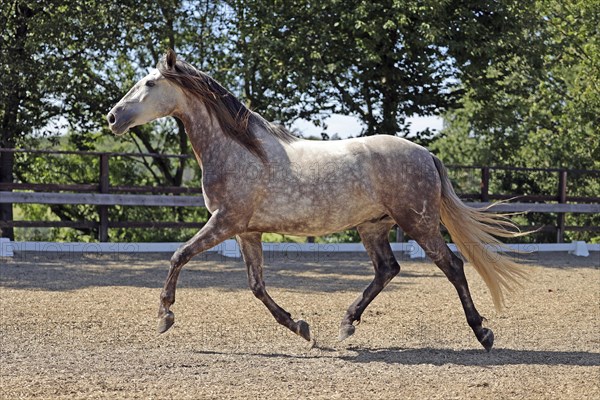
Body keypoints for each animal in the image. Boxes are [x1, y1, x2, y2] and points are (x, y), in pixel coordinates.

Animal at [108, 49, 524, 350]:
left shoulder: (224, 222)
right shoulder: (246, 231)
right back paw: (346, 324)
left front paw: (164, 316)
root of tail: (426, 154)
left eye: (149, 82)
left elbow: (178, 255)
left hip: (418, 222)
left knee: (452, 266)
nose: (113, 117)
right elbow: (256, 286)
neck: (240, 149)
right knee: (387, 269)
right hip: (373, 226)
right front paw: (301, 328)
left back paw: (483, 334)